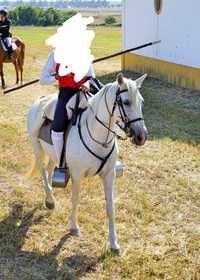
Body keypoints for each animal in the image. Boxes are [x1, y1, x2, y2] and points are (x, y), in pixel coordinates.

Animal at [27, 72, 148, 252]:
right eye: (126, 102)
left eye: (141, 101)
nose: (141, 137)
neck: (99, 136)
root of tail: (40, 101)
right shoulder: (77, 175)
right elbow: (75, 199)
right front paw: (74, 227)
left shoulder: (109, 175)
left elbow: (110, 208)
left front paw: (114, 243)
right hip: (37, 148)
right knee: (42, 171)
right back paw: (50, 200)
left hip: (52, 154)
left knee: (48, 170)